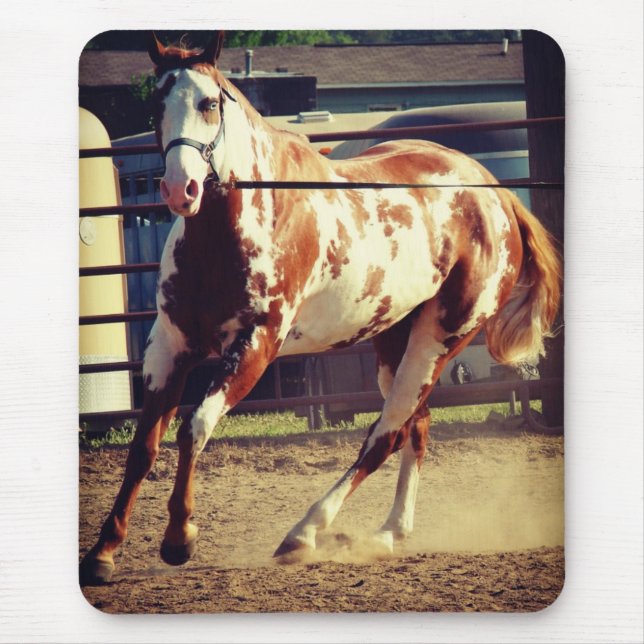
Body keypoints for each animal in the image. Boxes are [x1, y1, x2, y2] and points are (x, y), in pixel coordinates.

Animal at [79, 32, 561, 585]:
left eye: (208, 102)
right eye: (156, 104)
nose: (181, 189)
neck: (237, 226)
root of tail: (498, 196)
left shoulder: (257, 346)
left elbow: (193, 428)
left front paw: (180, 538)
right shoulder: (170, 343)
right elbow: (143, 445)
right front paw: (103, 552)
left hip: (441, 339)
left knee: (384, 433)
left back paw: (305, 533)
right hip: (393, 339)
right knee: (413, 427)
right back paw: (389, 531)